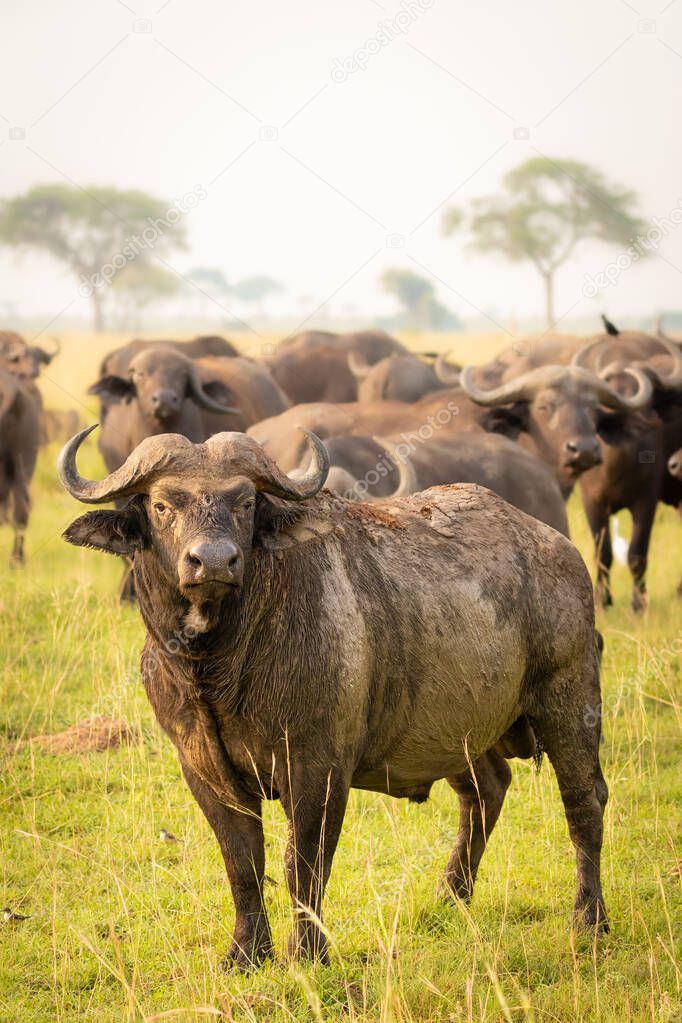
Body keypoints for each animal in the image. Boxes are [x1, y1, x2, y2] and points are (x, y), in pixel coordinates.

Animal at [61, 425, 609, 965]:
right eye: (161, 505)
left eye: (245, 502)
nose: (213, 561)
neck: (222, 667)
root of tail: (558, 548)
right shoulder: (204, 770)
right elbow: (242, 860)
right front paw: (246, 951)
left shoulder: (318, 768)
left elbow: (303, 864)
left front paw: (308, 952)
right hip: (465, 732)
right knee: (487, 790)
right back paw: (451, 896)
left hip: (570, 698)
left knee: (584, 802)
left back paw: (589, 918)